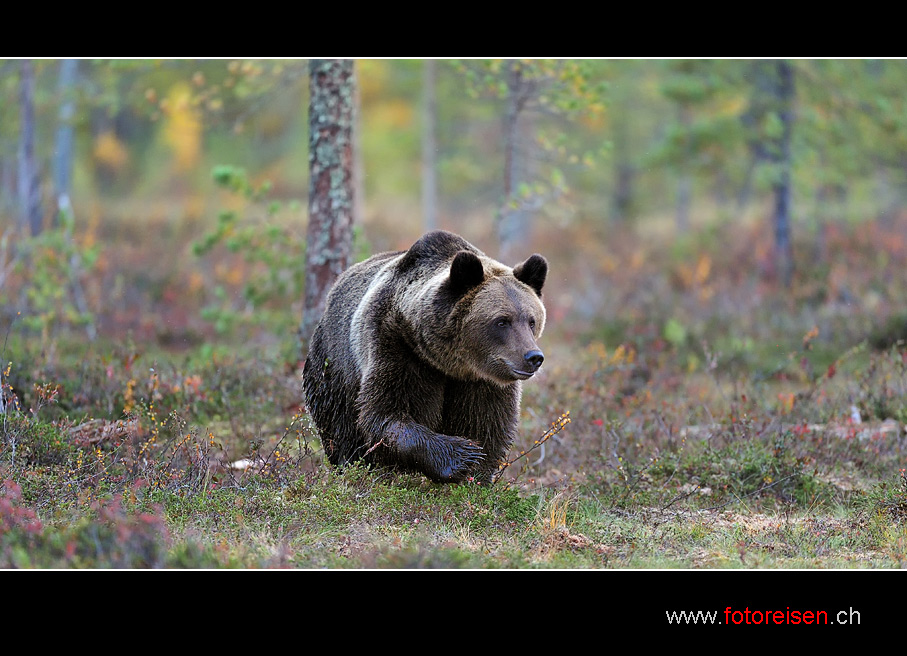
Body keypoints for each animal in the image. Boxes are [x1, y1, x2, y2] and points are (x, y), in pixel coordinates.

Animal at [304, 229, 548, 482]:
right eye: (501, 321)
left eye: (531, 320)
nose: (533, 357)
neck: (449, 362)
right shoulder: (397, 347)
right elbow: (386, 414)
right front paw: (463, 454)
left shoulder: (483, 381)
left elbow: (487, 424)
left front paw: (478, 472)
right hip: (334, 367)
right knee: (341, 427)